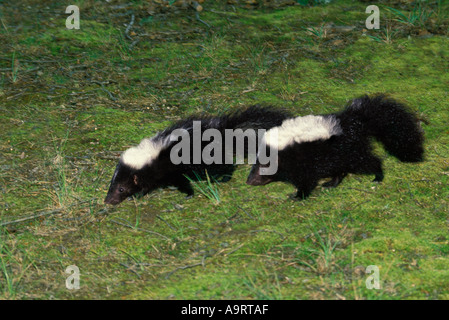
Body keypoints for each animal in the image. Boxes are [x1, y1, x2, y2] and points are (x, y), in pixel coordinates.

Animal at [103, 105, 288, 205]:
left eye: (121, 189)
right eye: (112, 185)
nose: (108, 200)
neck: (154, 156)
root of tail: (225, 131)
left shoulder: (173, 169)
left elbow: (182, 182)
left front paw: (188, 194)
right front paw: (139, 194)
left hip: (210, 156)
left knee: (227, 165)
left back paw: (222, 178)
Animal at [245, 94, 424, 199]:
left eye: (264, 168)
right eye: (254, 166)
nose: (249, 181)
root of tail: (353, 122)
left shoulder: (304, 163)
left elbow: (306, 181)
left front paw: (297, 196)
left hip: (349, 151)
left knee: (368, 161)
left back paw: (378, 176)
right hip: (339, 156)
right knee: (341, 170)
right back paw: (331, 183)